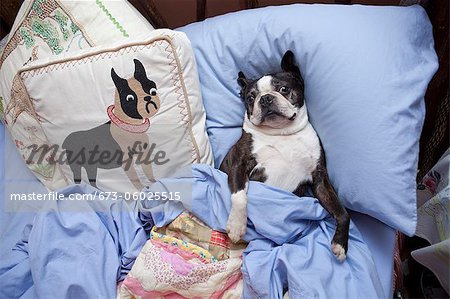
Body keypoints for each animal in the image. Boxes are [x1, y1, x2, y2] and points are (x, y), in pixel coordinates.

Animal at [62, 59, 161, 191]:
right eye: (130, 99)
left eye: (152, 90)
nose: (148, 97)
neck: (130, 126)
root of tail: (67, 140)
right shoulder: (126, 160)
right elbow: (135, 178)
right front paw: (142, 189)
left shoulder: (144, 153)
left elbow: (148, 171)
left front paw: (155, 183)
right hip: (76, 165)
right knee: (78, 178)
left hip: (91, 166)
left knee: (91, 180)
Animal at [220, 50, 350, 262]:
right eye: (250, 98)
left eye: (283, 89)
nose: (265, 98)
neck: (282, 134)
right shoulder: (238, 164)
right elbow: (239, 197)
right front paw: (237, 226)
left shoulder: (320, 179)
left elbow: (343, 212)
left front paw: (340, 245)